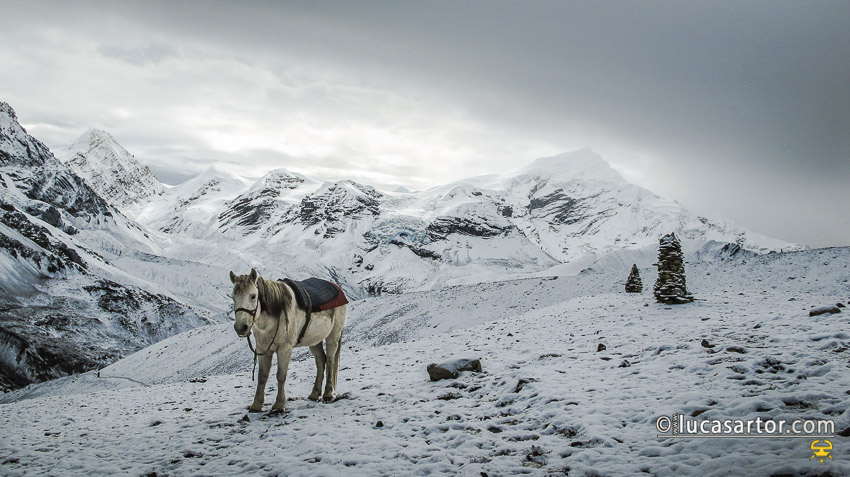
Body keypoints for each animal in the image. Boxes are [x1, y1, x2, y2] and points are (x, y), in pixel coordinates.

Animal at [227, 270, 346, 410]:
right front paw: (256, 405)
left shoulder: (285, 349)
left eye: (253, 296)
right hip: (314, 340)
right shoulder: (263, 349)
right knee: (321, 360)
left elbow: (281, 375)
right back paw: (314, 394)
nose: (241, 327)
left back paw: (327, 394)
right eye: (233, 297)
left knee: (330, 360)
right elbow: (262, 376)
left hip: (333, 336)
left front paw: (279, 404)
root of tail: (337, 287)